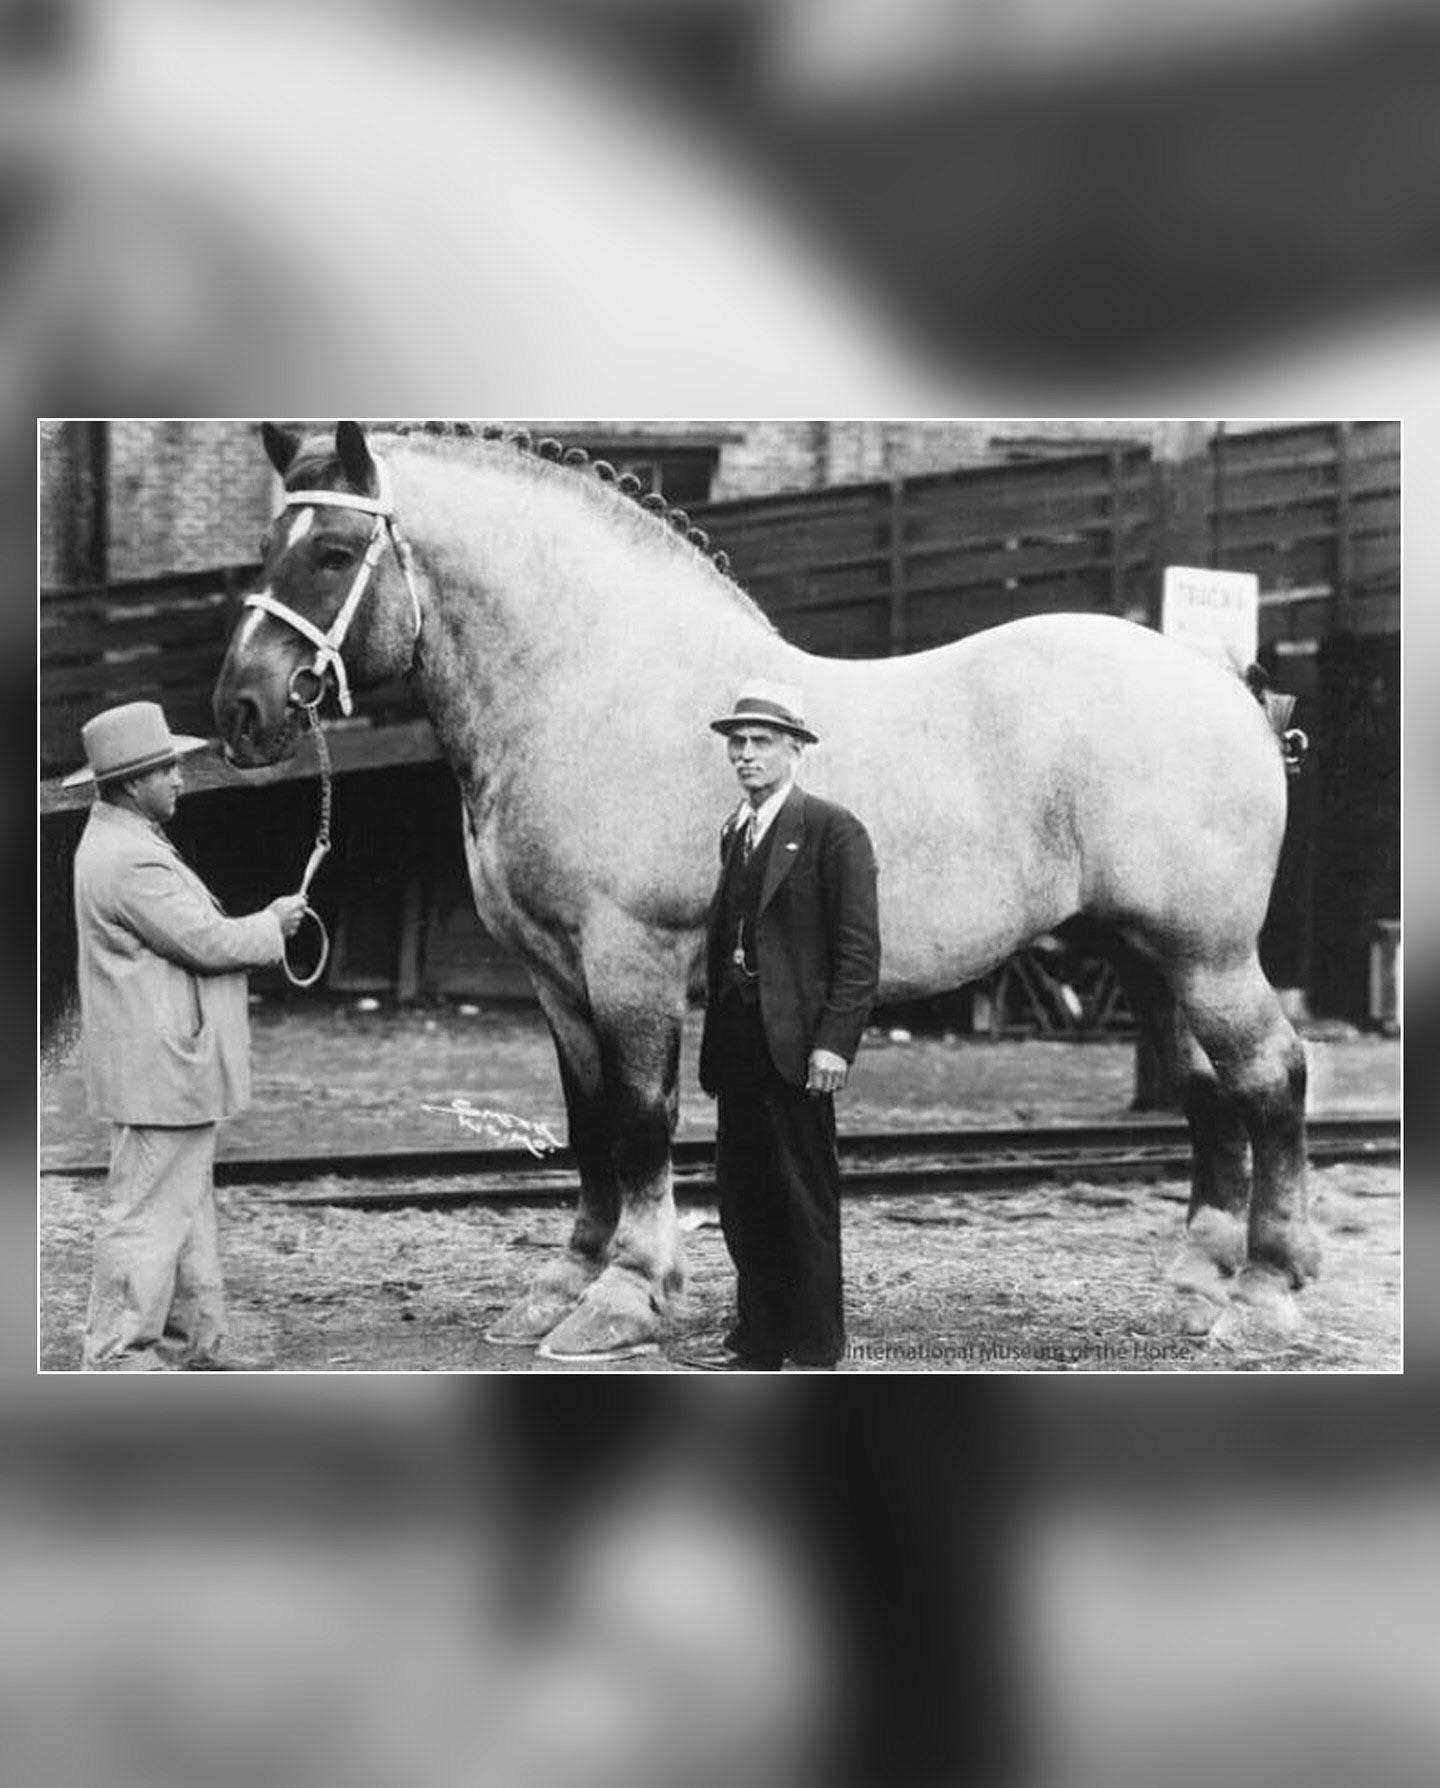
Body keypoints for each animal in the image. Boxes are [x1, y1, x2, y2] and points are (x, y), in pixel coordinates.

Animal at [212, 419, 1318, 1360]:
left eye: (332, 552)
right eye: (268, 543)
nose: (241, 710)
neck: (599, 686)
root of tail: (1228, 686)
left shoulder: (632, 961)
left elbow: (639, 1120)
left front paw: (626, 1296)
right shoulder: (555, 975)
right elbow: (586, 1120)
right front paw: (564, 1283)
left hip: (1208, 954)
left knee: (1270, 1077)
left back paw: (1266, 1296)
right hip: (1147, 955)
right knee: (1206, 1091)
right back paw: (1197, 1285)